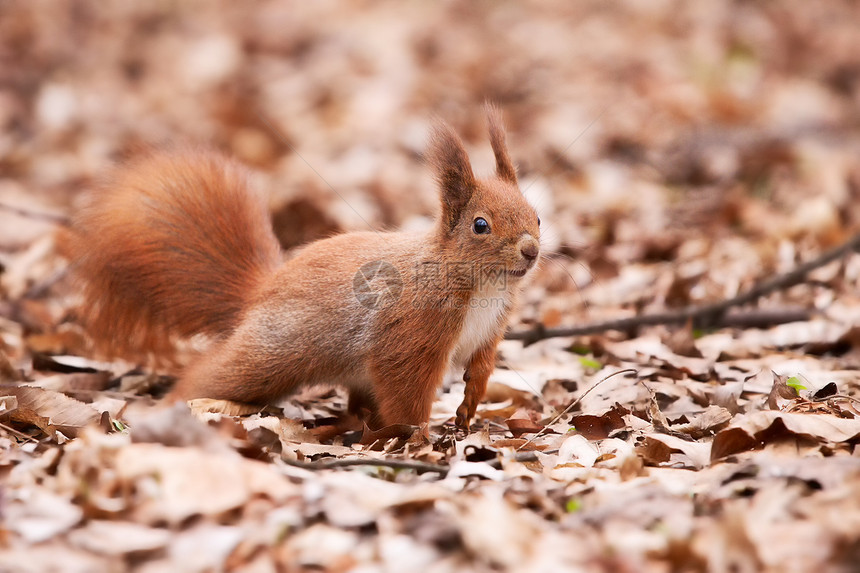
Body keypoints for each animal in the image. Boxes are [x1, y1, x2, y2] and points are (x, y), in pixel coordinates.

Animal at [69, 106, 536, 428]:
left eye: (536, 215)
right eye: (480, 225)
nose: (531, 250)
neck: (484, 285)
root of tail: (258, 293)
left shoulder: (490, 330)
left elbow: (482, 365)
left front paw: (469, 406)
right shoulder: (411, 327)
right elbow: (406, 387)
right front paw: (418, 434)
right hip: (268, 355)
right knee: (213, 374)